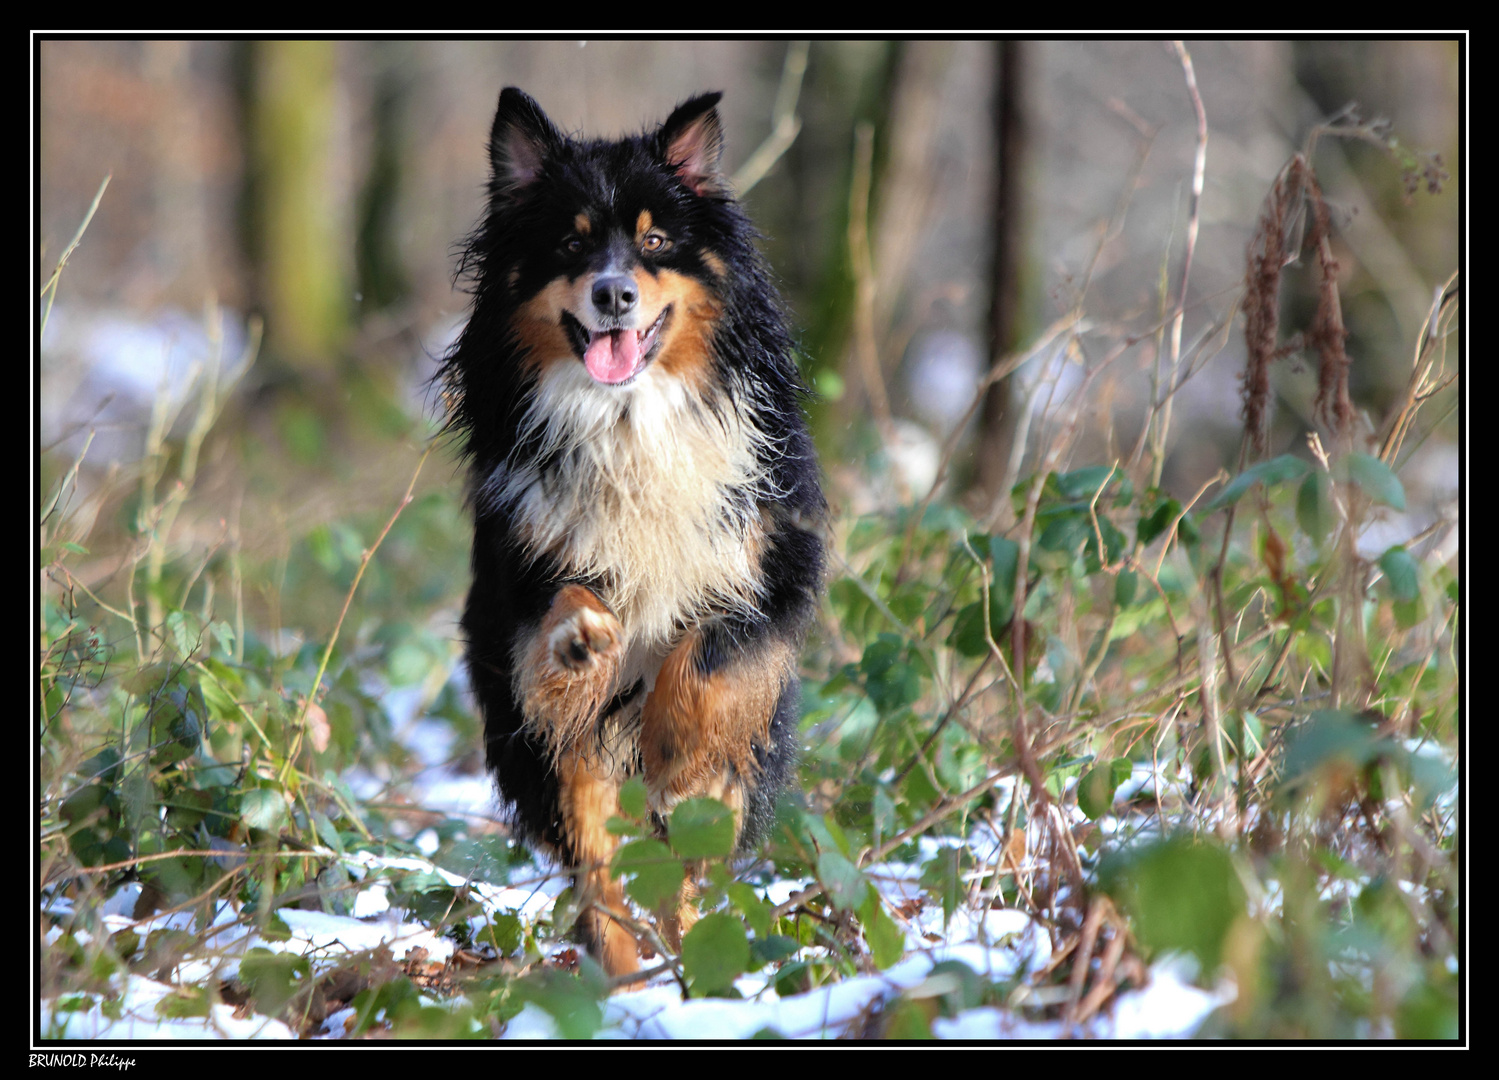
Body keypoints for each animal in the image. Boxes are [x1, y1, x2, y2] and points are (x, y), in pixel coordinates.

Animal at [437, 88, 827, 972]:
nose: (613, 293)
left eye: (653, 240)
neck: (628, 420)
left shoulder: (767, 565)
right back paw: (626, 971)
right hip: (544, 748)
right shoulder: (523, 568)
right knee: (600, 861)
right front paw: (583, 641)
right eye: (570, 243)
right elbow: (569, 612)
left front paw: (675, 744)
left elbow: (706, 658)